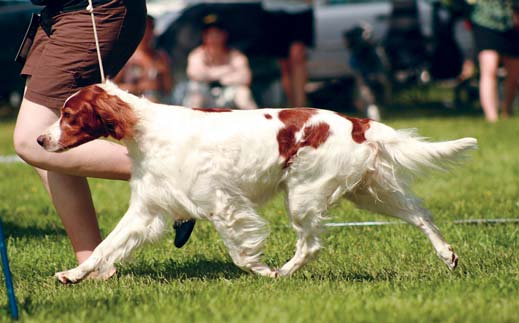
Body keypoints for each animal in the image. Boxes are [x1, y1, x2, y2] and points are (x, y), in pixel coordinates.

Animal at [36, 81, 478, 284]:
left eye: (69, 116)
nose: (40, 140)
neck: (146, 130)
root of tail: (357, 122)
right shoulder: (147, 209)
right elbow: (104, 247)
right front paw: (73, 275)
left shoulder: (224, 204)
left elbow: (241, 254)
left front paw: (264, 272)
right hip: (367, 191)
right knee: (420, 214)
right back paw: (448, 256)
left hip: (304, 195)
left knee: (311, 244)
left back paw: (283, 272)